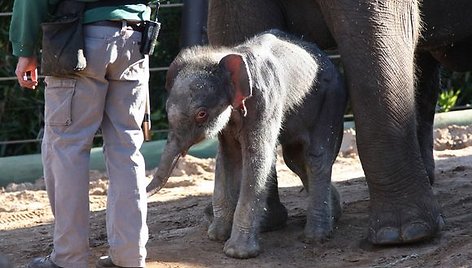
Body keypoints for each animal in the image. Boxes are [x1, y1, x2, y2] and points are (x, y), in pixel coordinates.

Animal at [147, 29, 346, 260]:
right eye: (167, 110)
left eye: (201, 114)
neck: (225, 55)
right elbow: (229, 157)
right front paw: (216, 235)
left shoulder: (265, 102)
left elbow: (257, 158)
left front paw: (237, 252)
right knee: (295, 159)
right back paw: (334, 214)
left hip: (330, 100)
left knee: (315, 157)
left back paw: (315, 237)